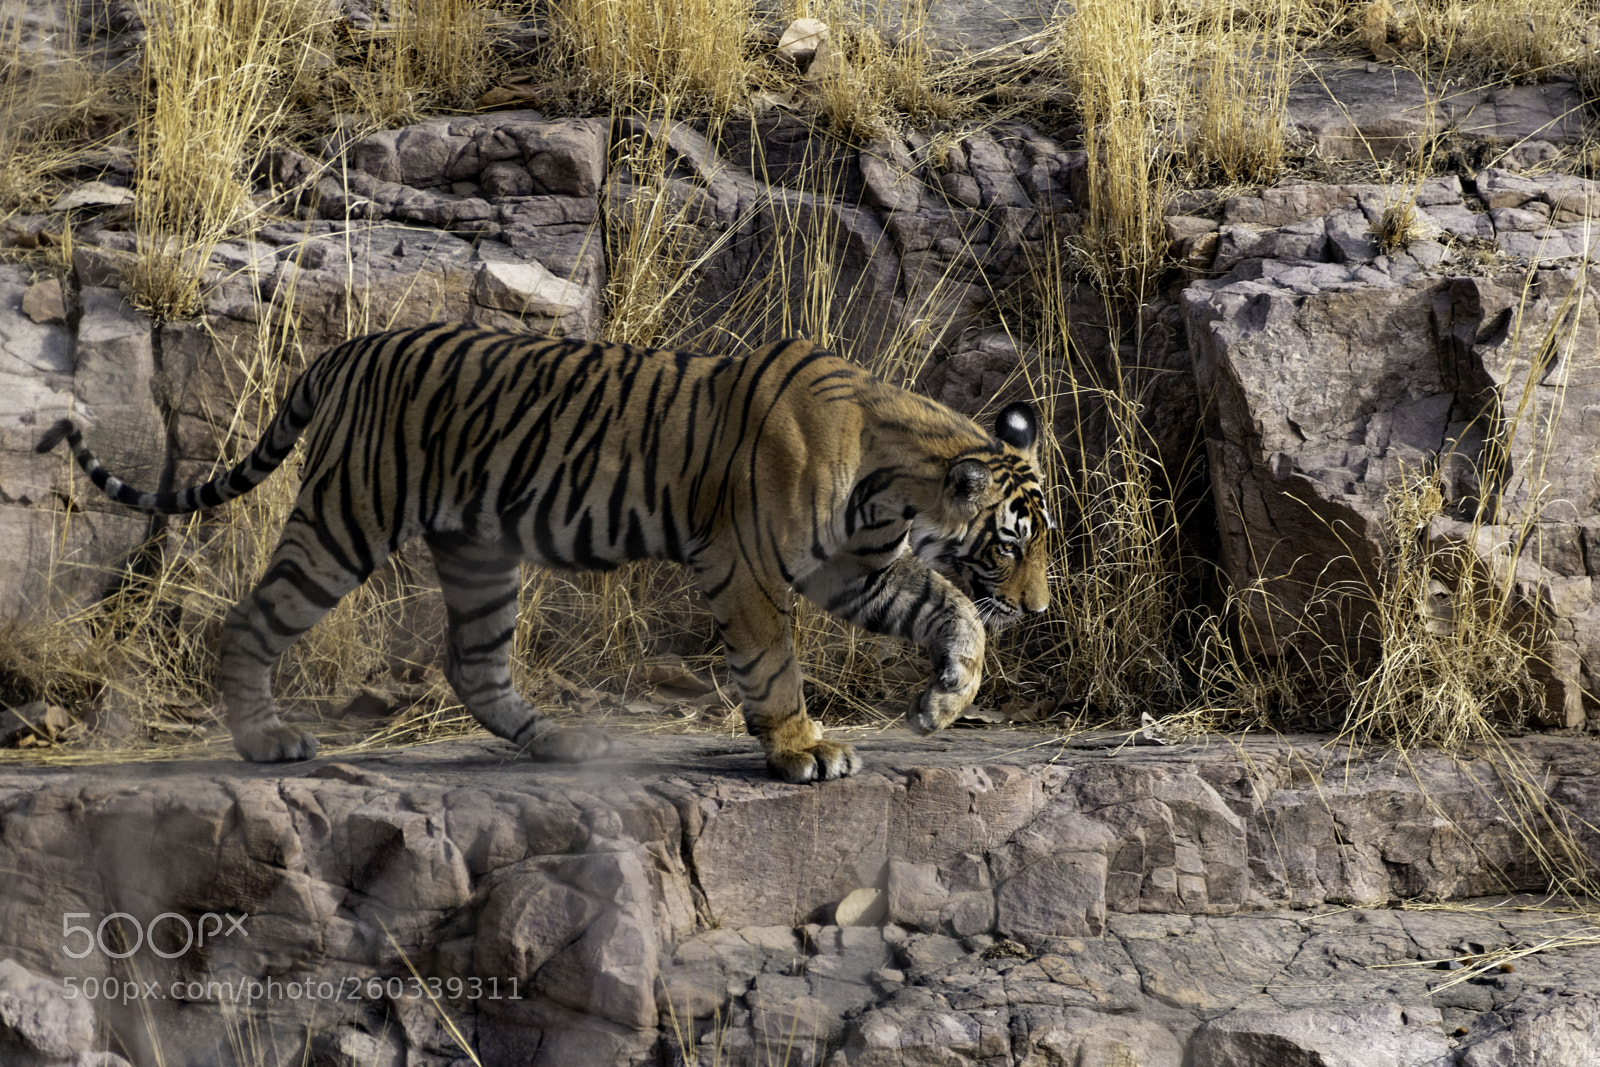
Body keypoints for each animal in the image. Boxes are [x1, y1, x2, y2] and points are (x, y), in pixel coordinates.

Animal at [37, 324, 1052, 782]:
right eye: (1011, 545)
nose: (1040, 609)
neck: (893, 485)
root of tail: (351, 347)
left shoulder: (850, 567)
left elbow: (946, 613)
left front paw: (944, 700)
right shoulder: (749, 565)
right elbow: (775, 666)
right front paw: (801, 749)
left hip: (481, 554)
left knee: (474, 663)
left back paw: (561, 740)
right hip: (343, 520)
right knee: (251, 618)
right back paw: (266, 739)